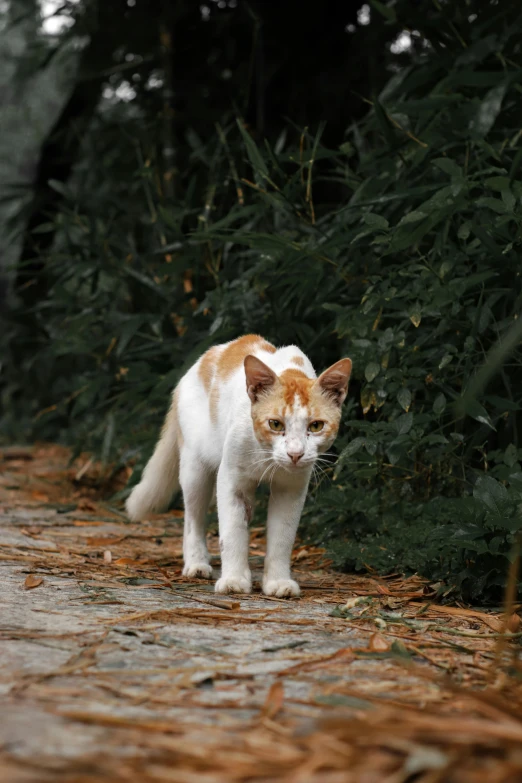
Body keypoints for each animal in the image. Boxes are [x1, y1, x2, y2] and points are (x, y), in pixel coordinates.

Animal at [125, 334, 350, 596]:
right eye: (275, 424)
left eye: (316, 426)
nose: (295, 454)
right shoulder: (231, 479)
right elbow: (232, 533)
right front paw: (233, 580)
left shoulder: (291, 488)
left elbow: (282, 538)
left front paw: (277, 582)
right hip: (195, 469)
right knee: (193, 518)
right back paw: (196, 563)